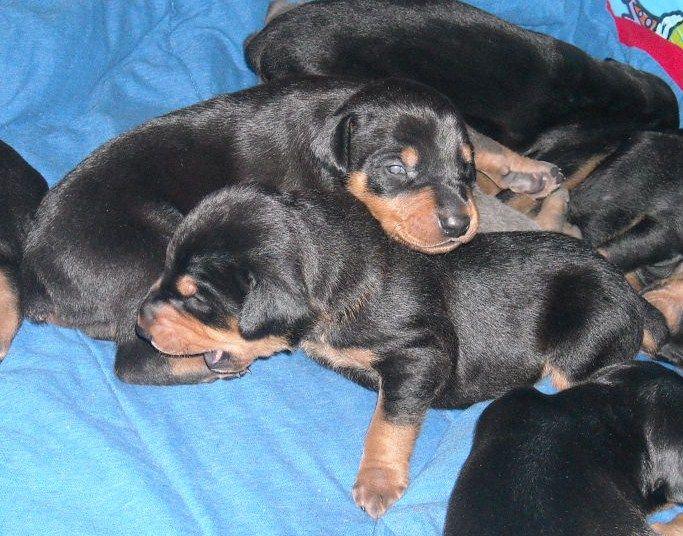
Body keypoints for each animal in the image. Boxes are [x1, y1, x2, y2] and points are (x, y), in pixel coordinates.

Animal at [135, 183, 668, 520]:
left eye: (196, 298)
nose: (139, 321)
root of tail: (631, 296)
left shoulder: (421, 357)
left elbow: (390, 423)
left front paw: (377, 483)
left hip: (583, 350)